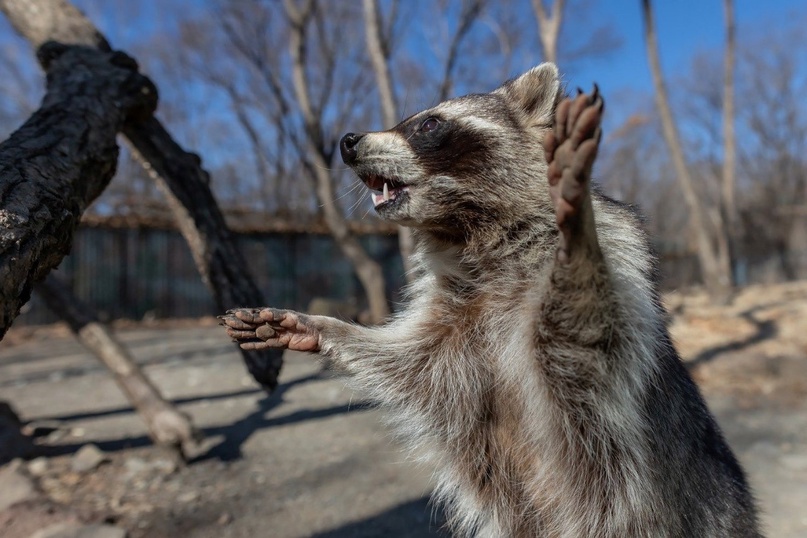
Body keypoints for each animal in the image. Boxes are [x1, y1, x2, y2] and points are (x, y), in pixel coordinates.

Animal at [219, 63, 756, 536]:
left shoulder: (617, 290)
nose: (348, 141)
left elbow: (584, 337)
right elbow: (410, 365)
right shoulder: (457, 318)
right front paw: (321, 327)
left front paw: (576, 232)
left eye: (429, 124)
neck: (472, 234)